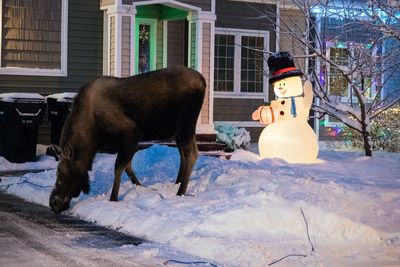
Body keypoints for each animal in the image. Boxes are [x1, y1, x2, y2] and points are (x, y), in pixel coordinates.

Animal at [49, 66, 205, 214]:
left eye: (62, 173)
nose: (53, 203)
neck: (92, 141)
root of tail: (203, 81)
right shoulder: (123, 143)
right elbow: (128, 166)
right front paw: (140, 187)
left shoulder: (131, 133)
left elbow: (119, 166)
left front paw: (113, 198)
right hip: (178, 130)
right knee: (183, 155)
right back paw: (177, 183)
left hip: (186, 123)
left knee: (192, 153)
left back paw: (181, 191)